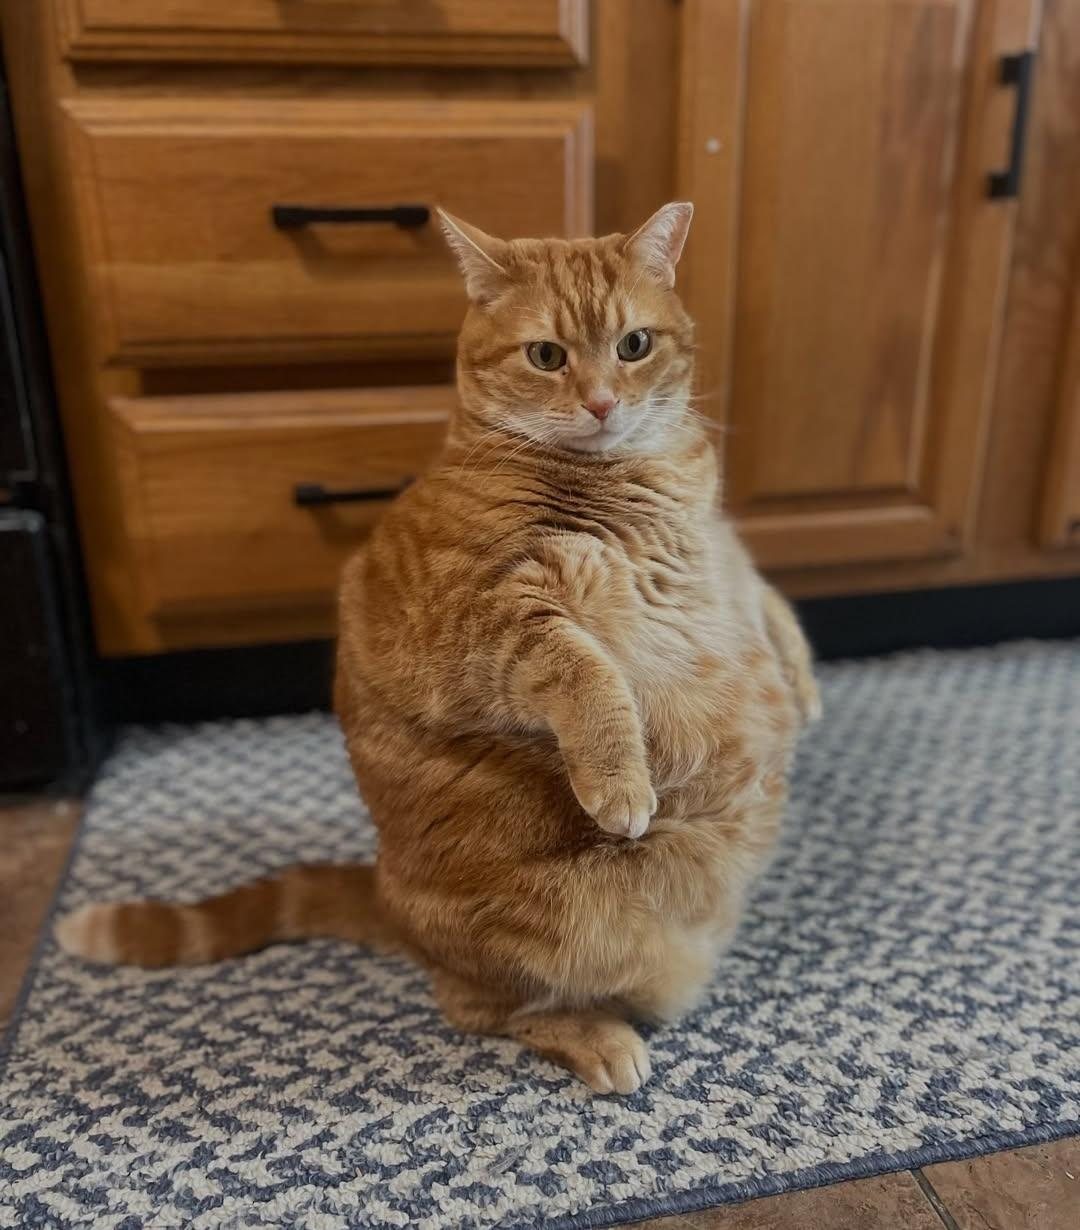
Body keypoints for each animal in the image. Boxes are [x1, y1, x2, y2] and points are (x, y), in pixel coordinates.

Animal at [57, 202, 820, 1094]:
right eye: (547, 356)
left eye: (634, 344)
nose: (601, 403)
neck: (641, 480)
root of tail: (390, 902)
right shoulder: (486, 622)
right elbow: (585, 672)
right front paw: (620, 782)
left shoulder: (718, 550)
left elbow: (763, 594)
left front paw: (804, 682)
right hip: (553, 933)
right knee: (488, 1008)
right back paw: (598, 1036)